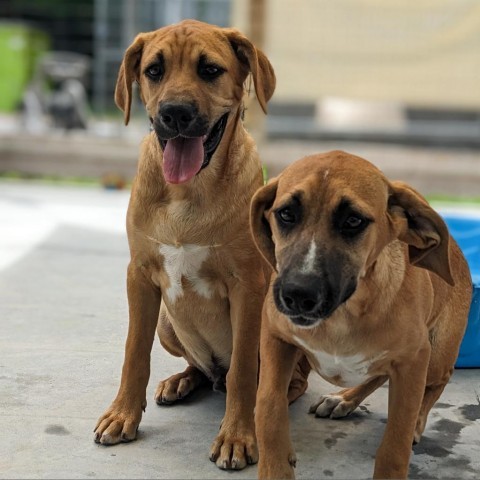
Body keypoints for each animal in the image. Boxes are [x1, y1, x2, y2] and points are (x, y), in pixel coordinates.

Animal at [93, 20, 282, 470]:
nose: (175, 113)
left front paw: (237, 436)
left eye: (210, 70)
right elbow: (134, 351)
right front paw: (123, 415)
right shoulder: (139, 275)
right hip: (167, 322)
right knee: (204, 369)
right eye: (154, 70)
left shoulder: (248, 285)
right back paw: (181, 381)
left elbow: (244, 370)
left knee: (262, 378)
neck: (187, 192)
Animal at [251, 151, 472, 480]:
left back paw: (417, 420)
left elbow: (396, 440)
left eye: (353, 221)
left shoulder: (414, 358)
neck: (341, 317)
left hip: (435, 356)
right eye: (286, 214)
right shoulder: (276, 336)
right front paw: (274, 466)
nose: (298, 295)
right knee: (379, 374)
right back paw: (343, 399)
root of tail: (457, 252)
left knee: (436, 382)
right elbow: (268, 404)